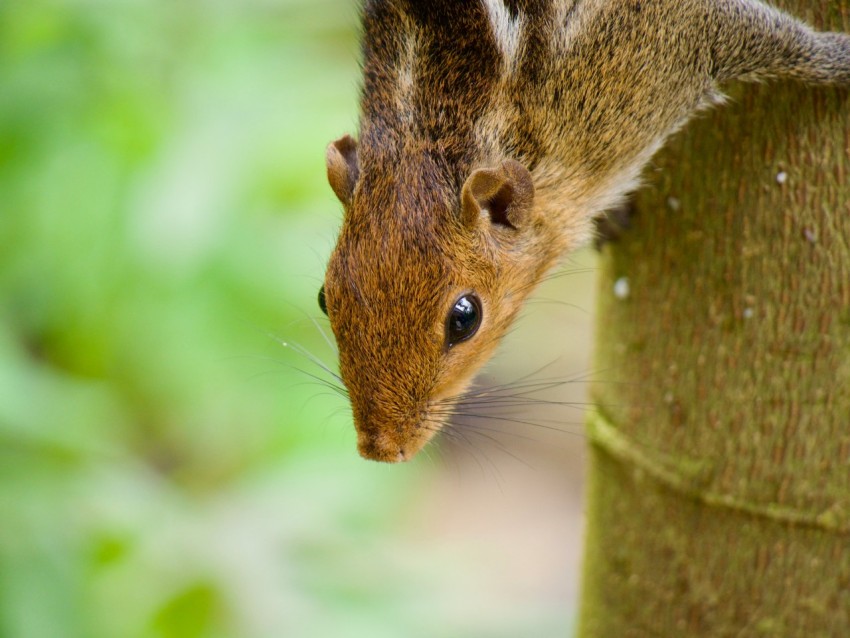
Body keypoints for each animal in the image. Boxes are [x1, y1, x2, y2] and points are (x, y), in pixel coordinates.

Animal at [314, 0, 848, 462]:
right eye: (324, 297)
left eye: (464, 318)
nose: (380, 450)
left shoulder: (669, 38)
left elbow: (763, 34)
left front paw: (837, 57)